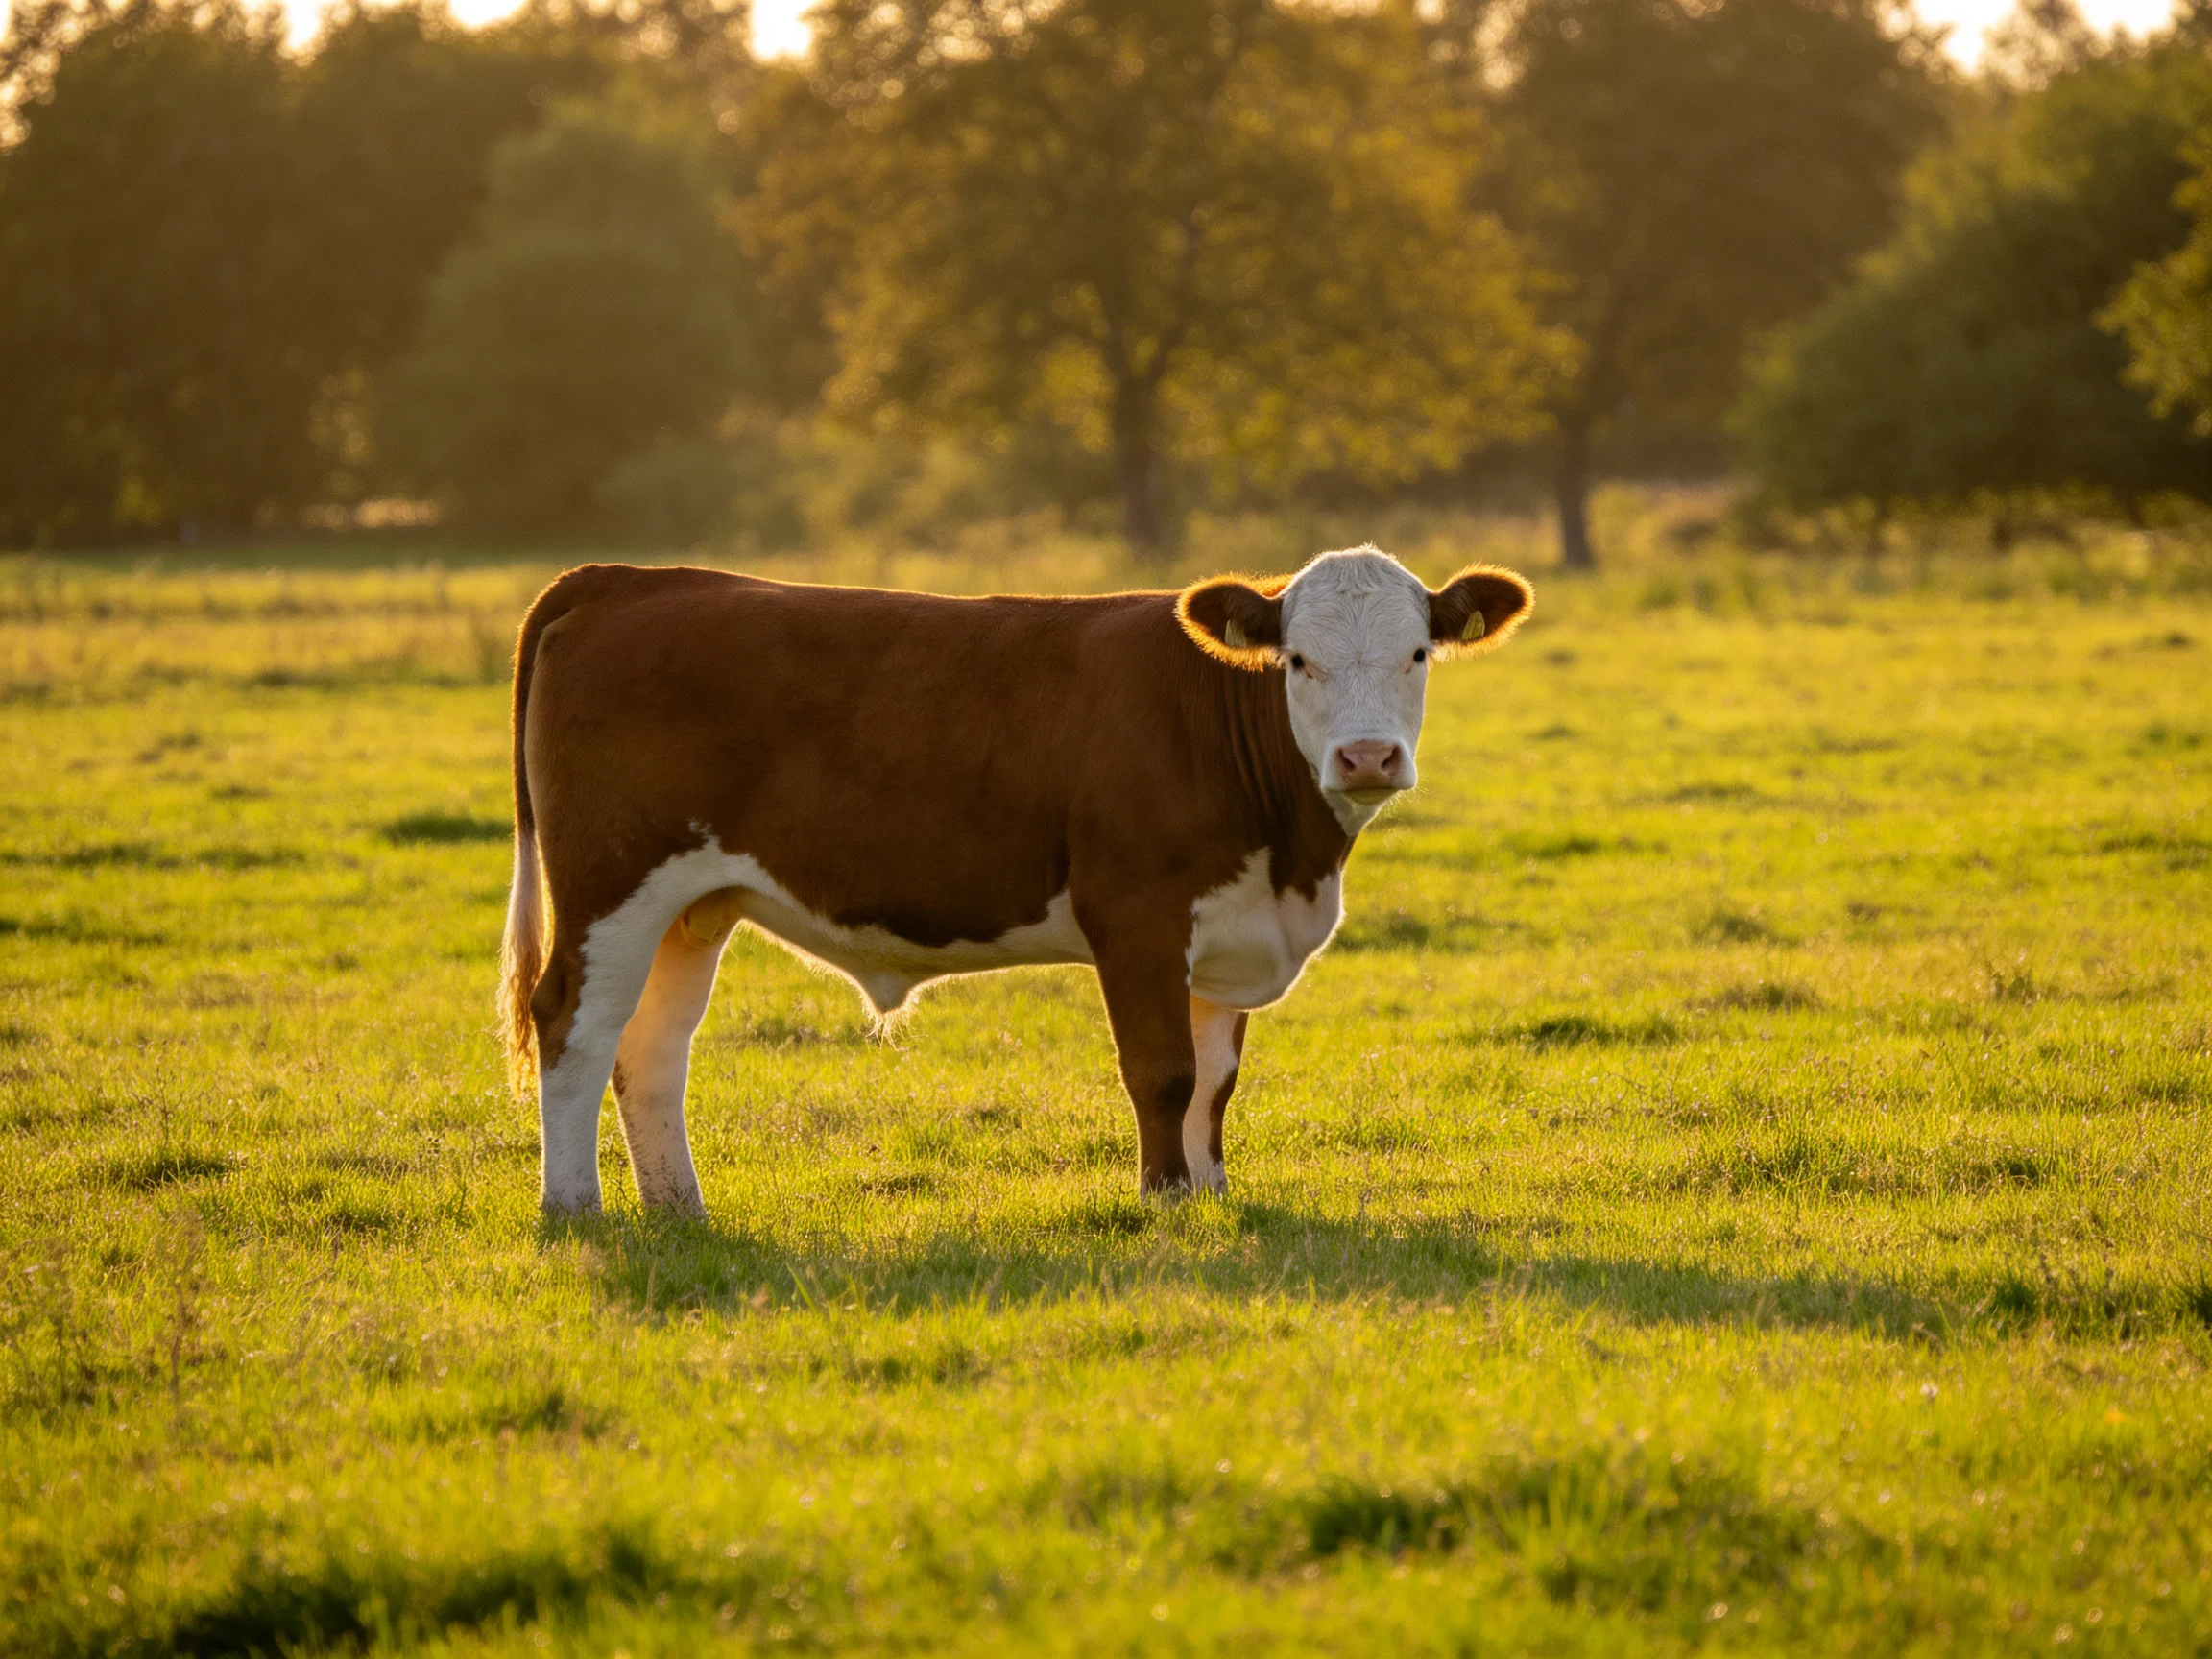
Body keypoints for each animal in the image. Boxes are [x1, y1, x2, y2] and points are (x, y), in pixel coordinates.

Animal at [499, 546, 1533, 1215]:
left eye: (1418, 653)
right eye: (1298, 659)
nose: (1367, 758)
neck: (1291, 859)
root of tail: (628, 580)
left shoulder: (1228, 931)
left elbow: (1215, 1081)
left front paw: (1210, 1194)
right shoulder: (1137, 915)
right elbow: (1163, 1072)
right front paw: (1163, 1200)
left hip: (690, 906)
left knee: (651, 1048)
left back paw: (679, 1210)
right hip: (610, 883)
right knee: (573, 1026)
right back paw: (574, 1207)